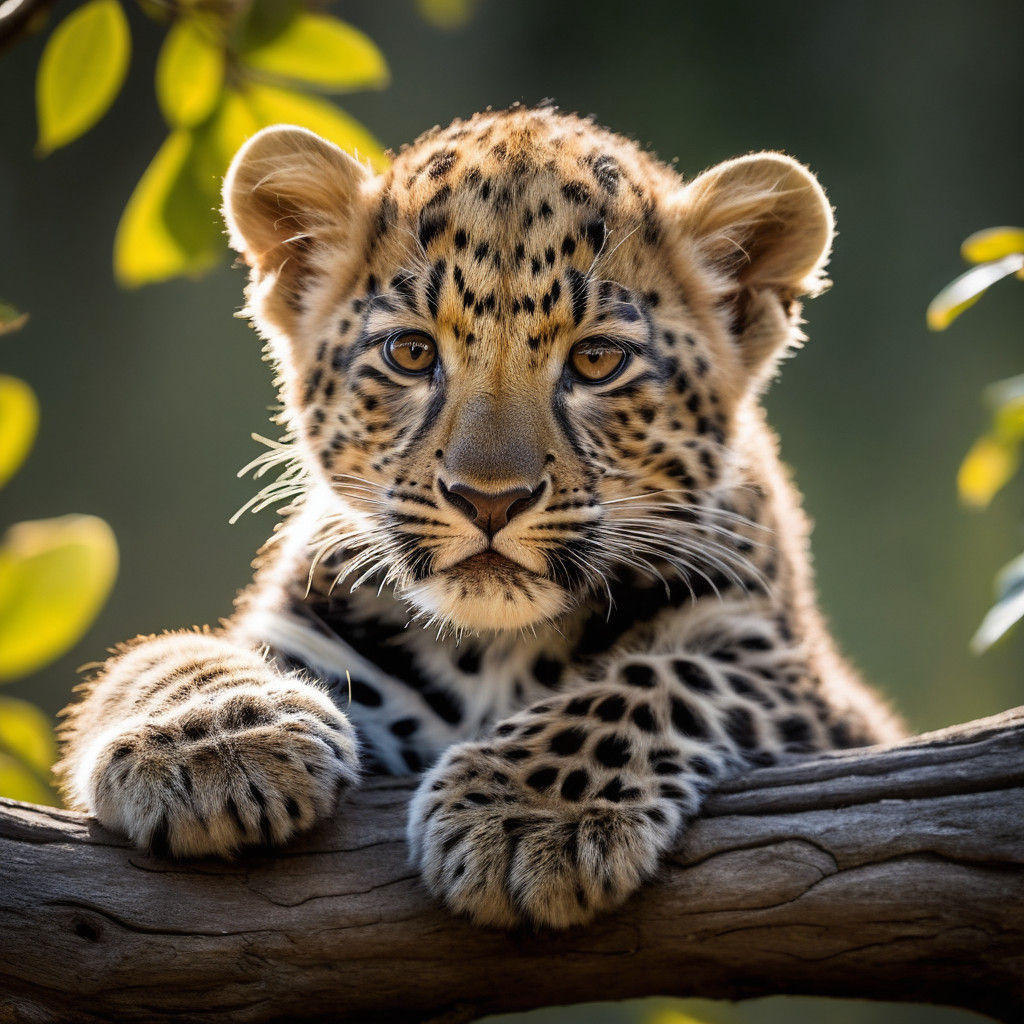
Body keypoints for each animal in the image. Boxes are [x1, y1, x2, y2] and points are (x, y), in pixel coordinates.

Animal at [57, 103, 903, 930]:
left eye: (597, 360)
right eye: (409, 353)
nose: (488, 498)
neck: (498, 652)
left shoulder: (810, 688)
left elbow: (667, 676)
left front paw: (530, 814)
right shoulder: (303, 628)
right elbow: (164, 654)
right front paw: (213, 744)